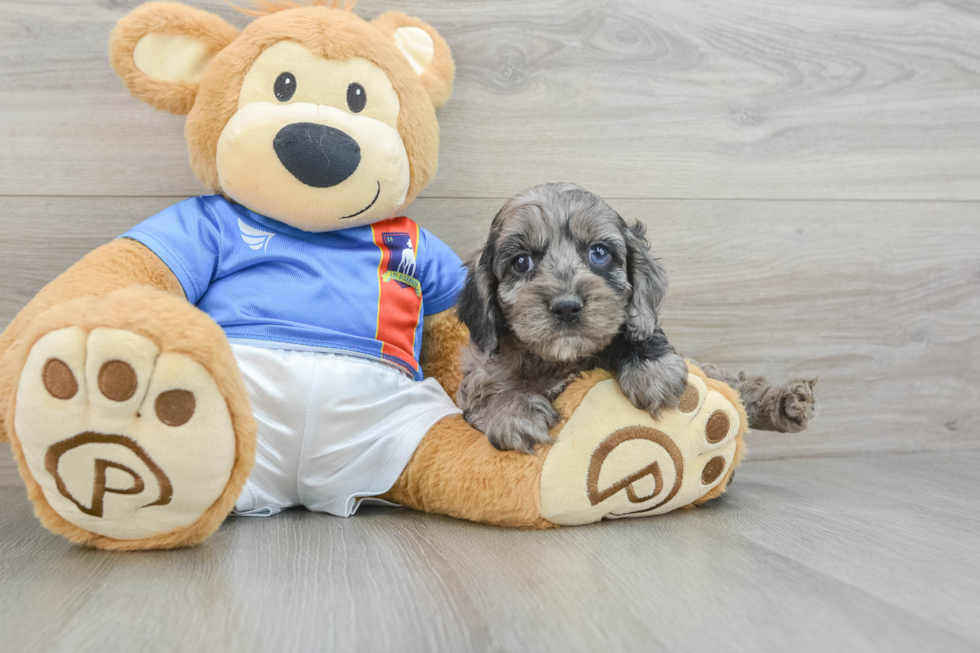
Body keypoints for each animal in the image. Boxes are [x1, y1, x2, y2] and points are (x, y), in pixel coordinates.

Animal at [460, 181, 820, 450]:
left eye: (599, 253)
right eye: (521, 262)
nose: (566, 306)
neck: (559, 360)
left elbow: (641, 332)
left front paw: (650, 370)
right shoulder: (478, 379)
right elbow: (491, 391)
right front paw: (513, 410)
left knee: (735, 385)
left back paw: (785, 402)